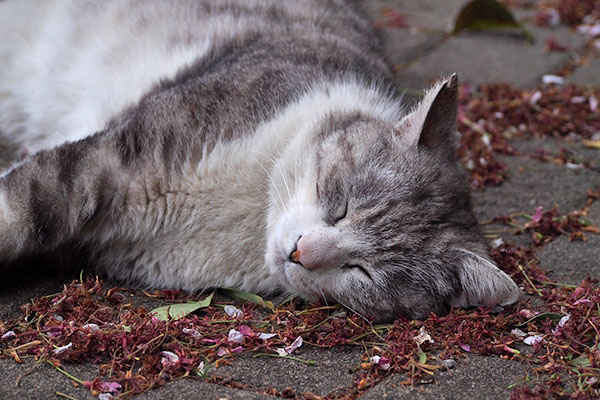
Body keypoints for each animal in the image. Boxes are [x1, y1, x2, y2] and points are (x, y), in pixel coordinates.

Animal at [0, 0, 516, 320]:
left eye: (363, 272)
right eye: (340, 204)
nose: (300, 252)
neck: (251, 212)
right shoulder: (112, 160)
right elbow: (17, 209)